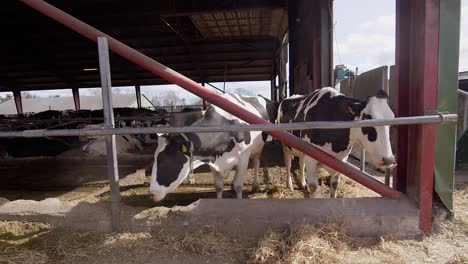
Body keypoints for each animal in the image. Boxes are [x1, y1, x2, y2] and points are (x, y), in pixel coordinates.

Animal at [148, 93, 278, 202]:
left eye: (163, 162)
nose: (151, 193)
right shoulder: (211, 158)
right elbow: (219, 186)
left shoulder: (243, 158)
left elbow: (239, 185)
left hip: (259, 146)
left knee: (256, 161)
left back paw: (255, 185)